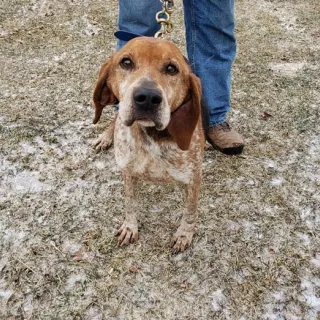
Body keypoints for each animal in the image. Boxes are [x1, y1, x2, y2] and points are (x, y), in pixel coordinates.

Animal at [92, 37, 208, 252]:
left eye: (171, 68)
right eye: (126, 62)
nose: (147, 97)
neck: (152, 135)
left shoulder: (193, 178)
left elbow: (190, 211)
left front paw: (184, 235)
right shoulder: (128, 172)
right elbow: (130, 203)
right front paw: (130, 227)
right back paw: (105, 136)